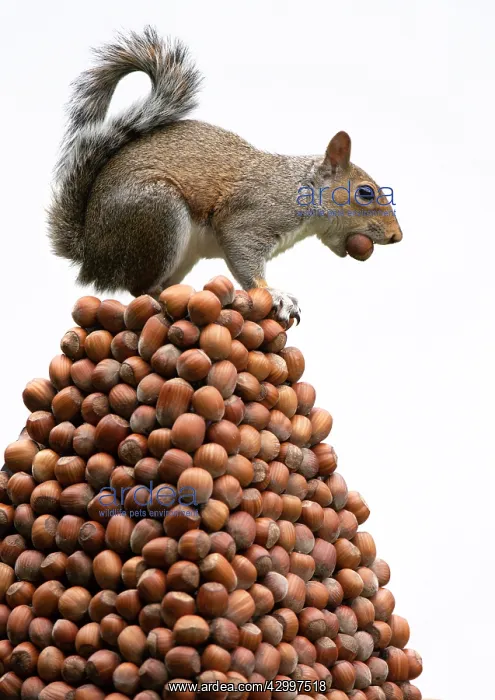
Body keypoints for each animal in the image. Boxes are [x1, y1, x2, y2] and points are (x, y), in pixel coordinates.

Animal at [48, 26, 402, 323]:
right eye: (365, 193)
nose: (396, 236)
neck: (300, 186)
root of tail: (90, 252)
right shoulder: (251, 217)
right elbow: (243, 255)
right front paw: (276, 295)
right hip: (158, 216)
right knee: (139, 288)